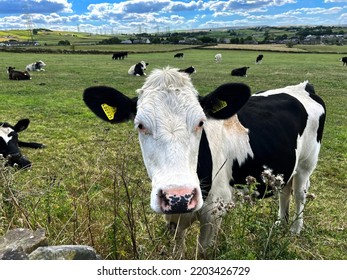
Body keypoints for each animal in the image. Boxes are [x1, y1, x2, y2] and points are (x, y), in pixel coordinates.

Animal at [83, 66, 326, 258]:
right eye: (140, 125)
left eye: (200, 122)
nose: (179, 196)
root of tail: (303, 87)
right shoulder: (173, 215)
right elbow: (177, 250)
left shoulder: (214, 211)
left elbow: (203, 253)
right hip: (287, 167)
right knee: (284, 191)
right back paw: (280, 223)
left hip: (306, 163)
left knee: (299, 194)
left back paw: (294, 230)